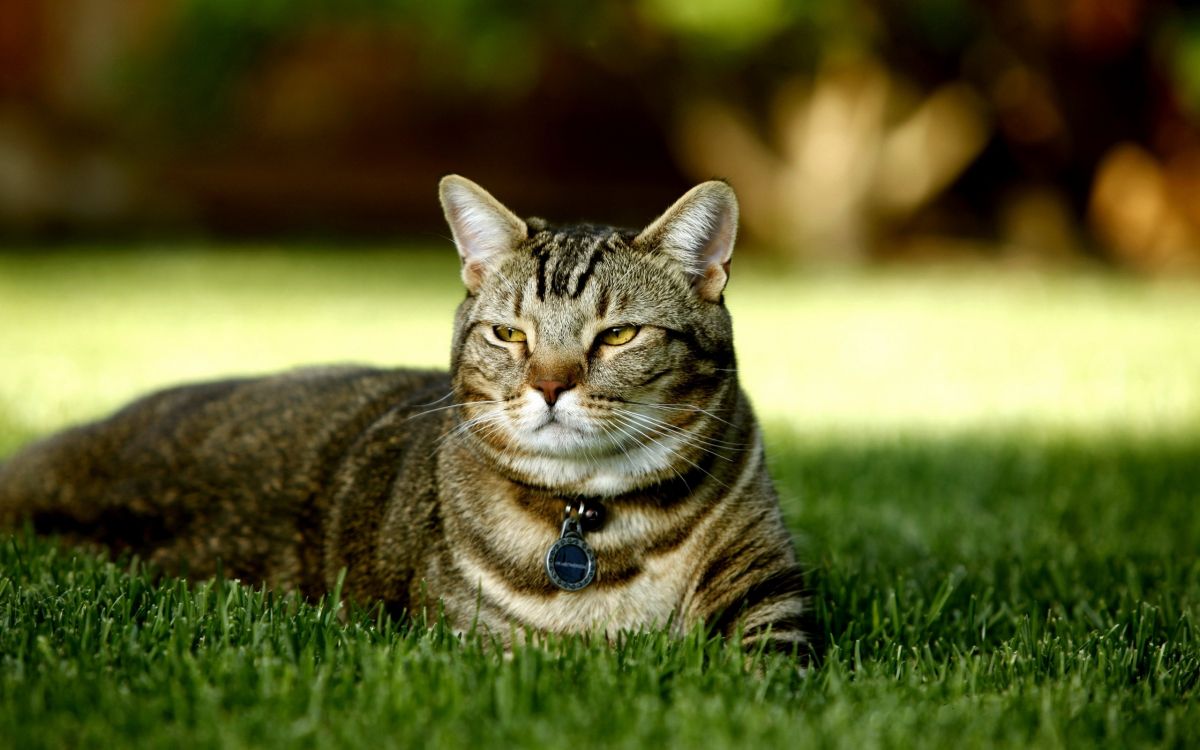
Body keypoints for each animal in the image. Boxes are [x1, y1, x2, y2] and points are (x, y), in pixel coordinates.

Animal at [0, 176, 816, 662]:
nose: (549, 386)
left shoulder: (769, 591)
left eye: (617, 336)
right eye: (508, 334)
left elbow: (771, 671)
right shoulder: (477, 645)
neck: (595, 516)